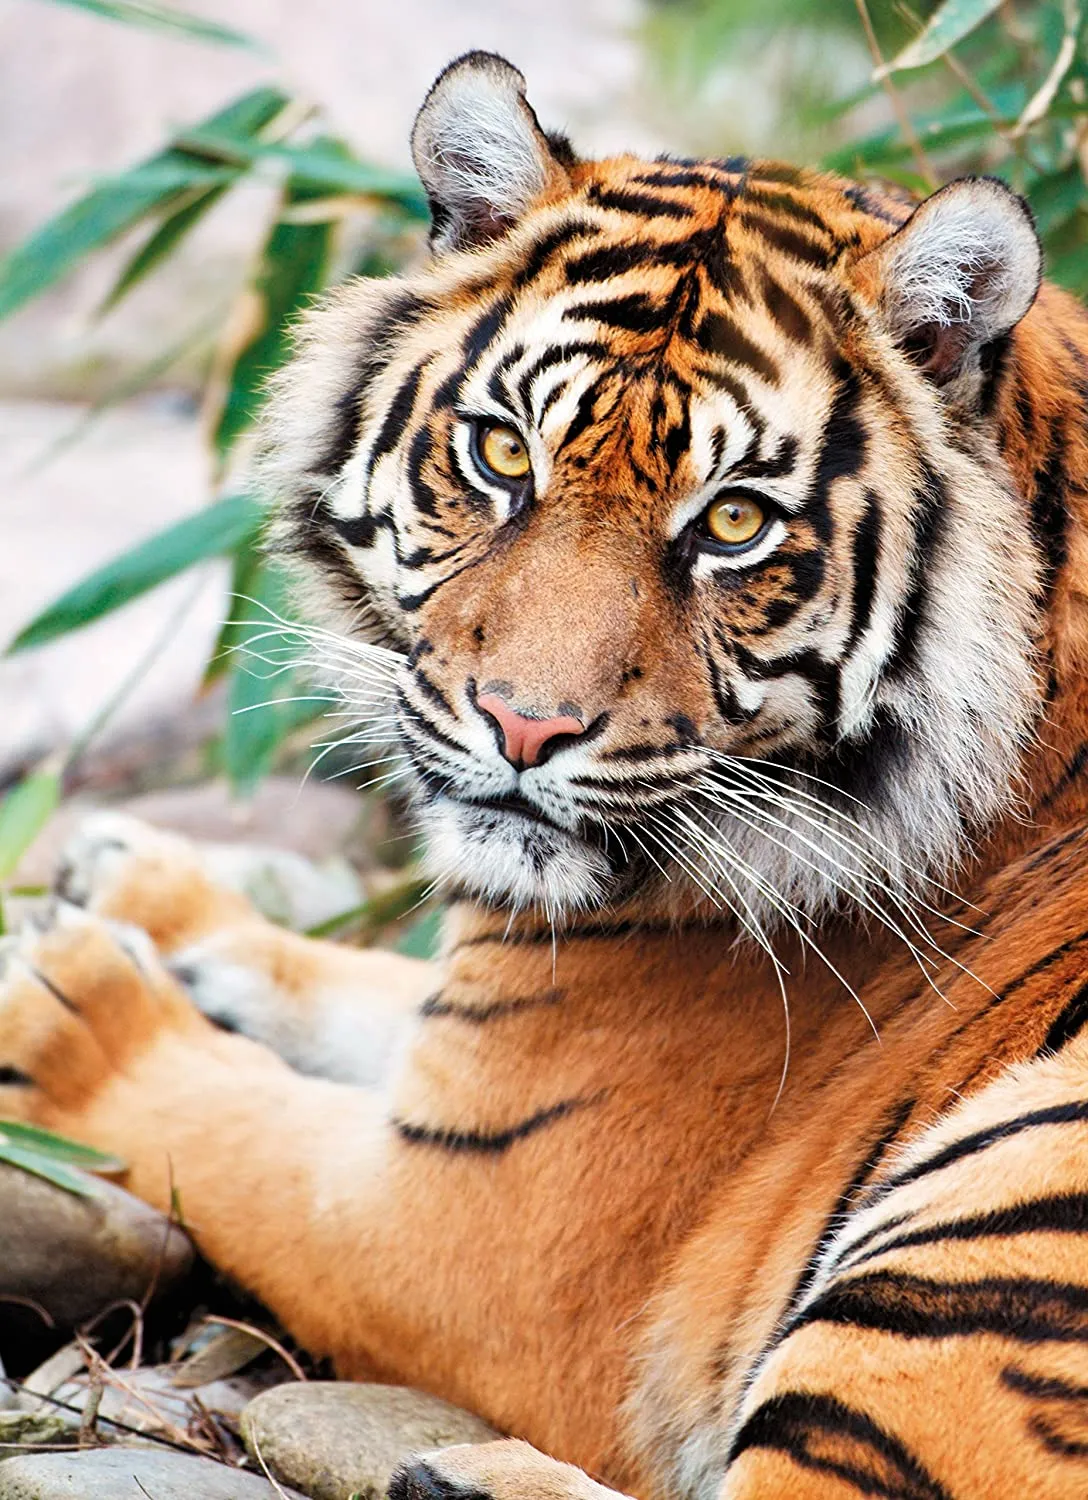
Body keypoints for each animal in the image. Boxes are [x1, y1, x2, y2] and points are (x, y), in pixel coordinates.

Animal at [4, 46, 1088, 1499]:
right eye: (502, 452)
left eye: (732, 523)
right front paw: (143, 888)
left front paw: (68, 1006)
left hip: (1000, 1211)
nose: (522, 727)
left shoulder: (463, 1224)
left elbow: (232, 1129)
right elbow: (367, 989)